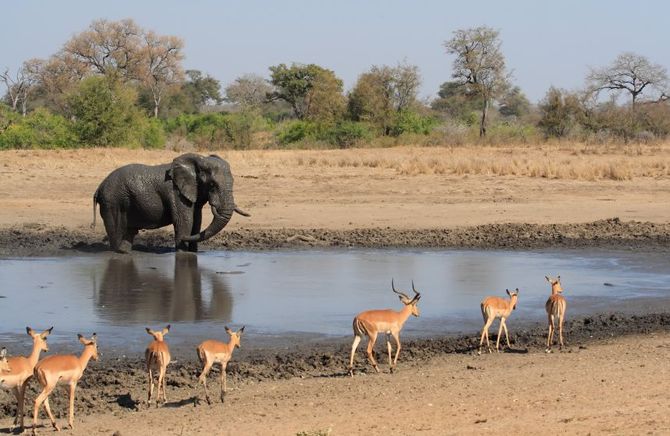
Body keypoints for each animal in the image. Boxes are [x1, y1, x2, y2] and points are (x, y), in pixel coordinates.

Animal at [94, 152, 249, 252]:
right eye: (212, 185)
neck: (198, 161)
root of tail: (98, 188)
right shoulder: (176, 193)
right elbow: (184, 222)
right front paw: (183, 253)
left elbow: (196, 222)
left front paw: (192, 252)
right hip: (112, 202)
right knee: (116, 235)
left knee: (128, 234)